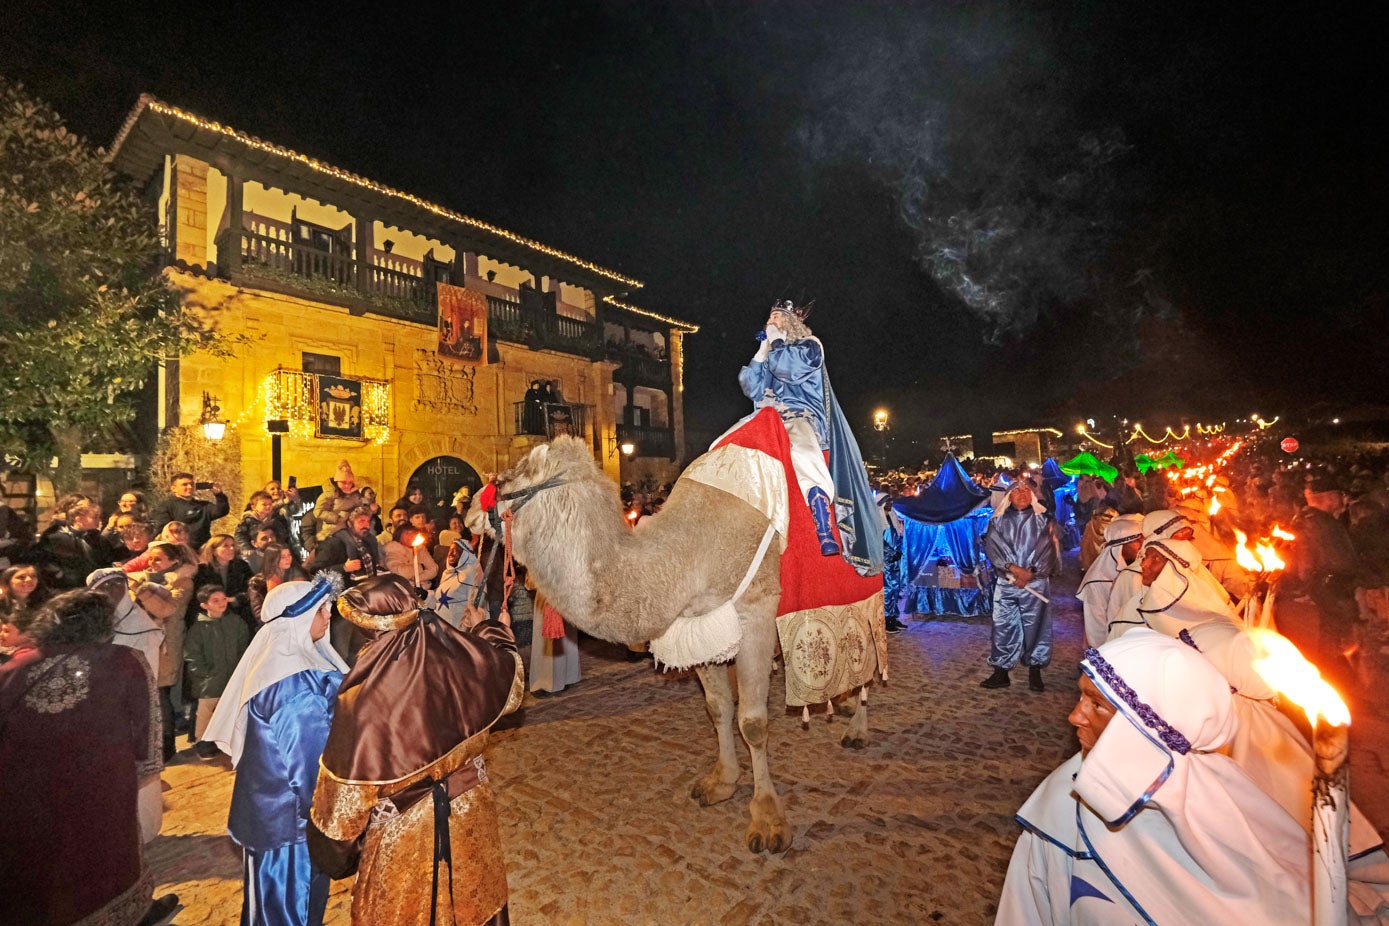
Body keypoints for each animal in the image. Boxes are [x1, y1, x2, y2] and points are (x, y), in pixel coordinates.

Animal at [494, 435, 872, 855]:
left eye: (510, 476)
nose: (477, 501)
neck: (686, 557)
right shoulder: (702, 626)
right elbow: (719, 708)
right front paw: (722, 782)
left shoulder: (755, 611)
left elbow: (753, 723)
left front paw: (769, 820)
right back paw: (844, 705)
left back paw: (857, 729)